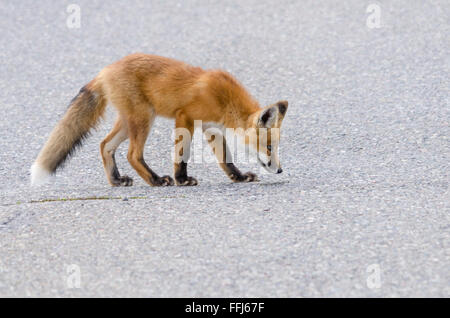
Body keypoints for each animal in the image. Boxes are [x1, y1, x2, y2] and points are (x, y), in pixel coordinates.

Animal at [30, 52, 288, 186]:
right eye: (269, 147)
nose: (280, 170)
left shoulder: (211, 127)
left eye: (276, 147)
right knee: (132, 155)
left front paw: (239, 177)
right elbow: (182, 154)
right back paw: (156, 180)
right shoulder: (185, 117)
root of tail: (106, 70)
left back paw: (117, 180)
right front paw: (181, 179)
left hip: (129, 122)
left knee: (105, 146)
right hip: (144, 118)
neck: (224, 99)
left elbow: (226, 158)